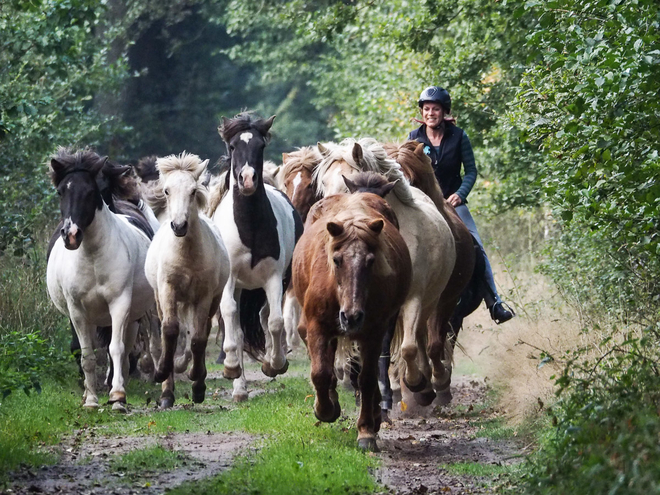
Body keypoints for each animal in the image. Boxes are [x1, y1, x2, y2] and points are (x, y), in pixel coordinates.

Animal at [144, 152, 229, 406]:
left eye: (193, 191)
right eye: (166, 191)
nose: (179, 226)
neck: (186, 255)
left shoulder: (204, 296)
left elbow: (199, 338)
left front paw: (198, 385)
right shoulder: (167, 290)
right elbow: (170, 330)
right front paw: (163, 377)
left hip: (208, 302)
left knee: (199, 333)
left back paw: (196, 378)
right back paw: (167, 391)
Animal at [213, 113, 302, 404]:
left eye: (260, 146)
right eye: (232, 147)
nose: (248, 180)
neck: (249, 226)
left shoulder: (274, 278)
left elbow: (275, 321)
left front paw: (274, 364)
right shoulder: (230, 279)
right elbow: (231, 317)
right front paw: (231, 368)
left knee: (265, 316)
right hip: (241, 286)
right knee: (239, 325)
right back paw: (239, 388)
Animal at [292, 188, 410, 452]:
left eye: (371, 261)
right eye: (336, 260)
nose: (352, 316)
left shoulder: (374, 332)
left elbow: (367, 379)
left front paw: (366, 430)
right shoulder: (316, 326)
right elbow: (320, 372)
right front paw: (325, 409)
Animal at [312, 138, 456, 408]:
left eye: (345, 183)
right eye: (323, 183)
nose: (327, 221)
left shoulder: (412, 299)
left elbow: (407, 347)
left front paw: (415, 384)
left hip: (430, 300)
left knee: (421, 337)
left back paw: (430, 384)